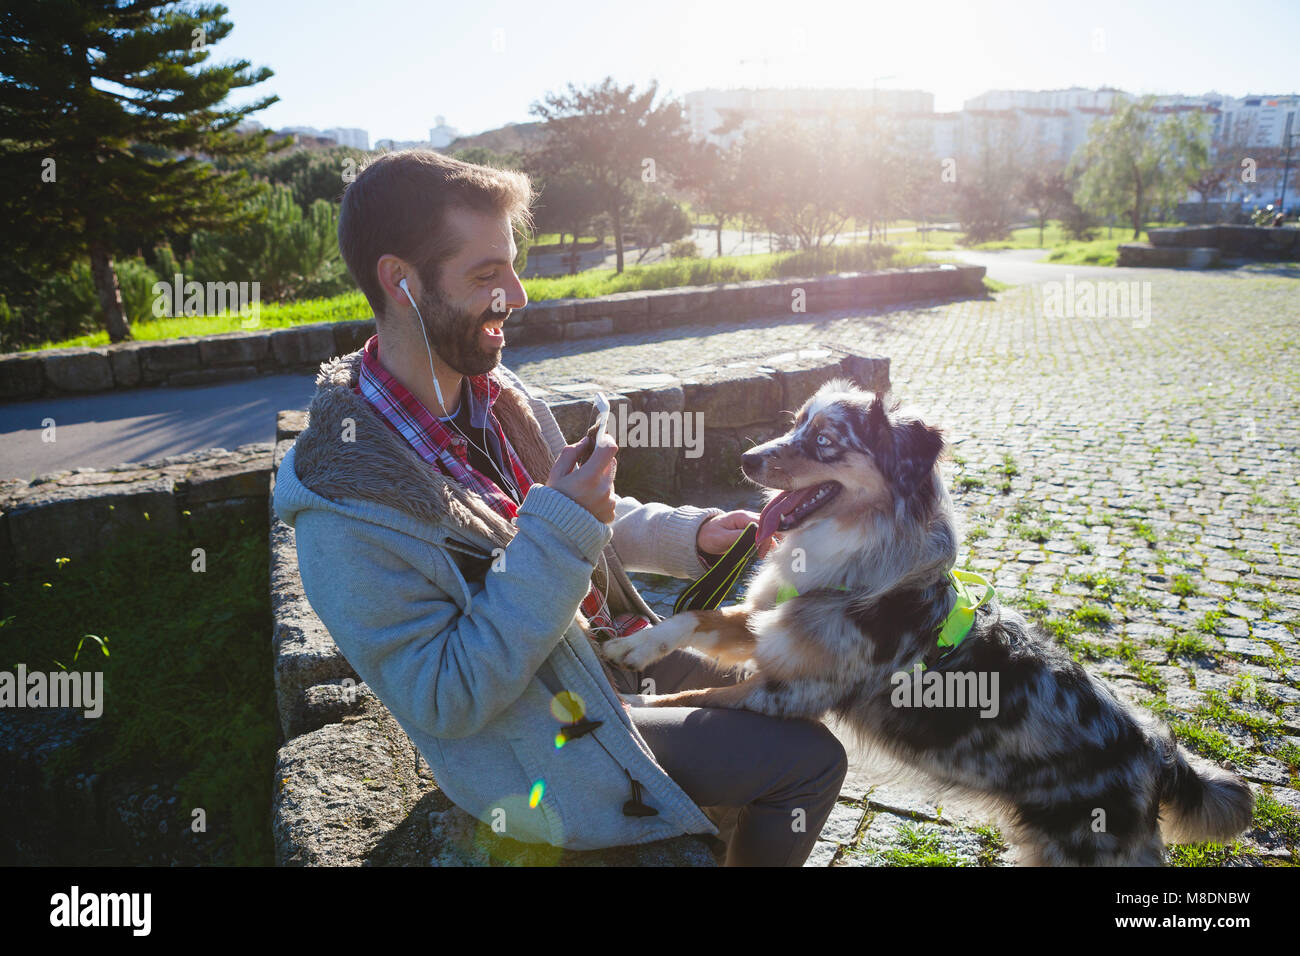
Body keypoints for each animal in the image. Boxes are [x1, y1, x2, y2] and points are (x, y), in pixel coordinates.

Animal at [603, 379, 1253, 868]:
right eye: (795, 424)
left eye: (825, 440)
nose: (745, 459)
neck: (859, 558)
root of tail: (1157, 752)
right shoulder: (777, 626)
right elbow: (697, 616)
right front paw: (632, 651)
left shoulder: (788, 692)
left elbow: (692, 696)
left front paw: (634, 713)